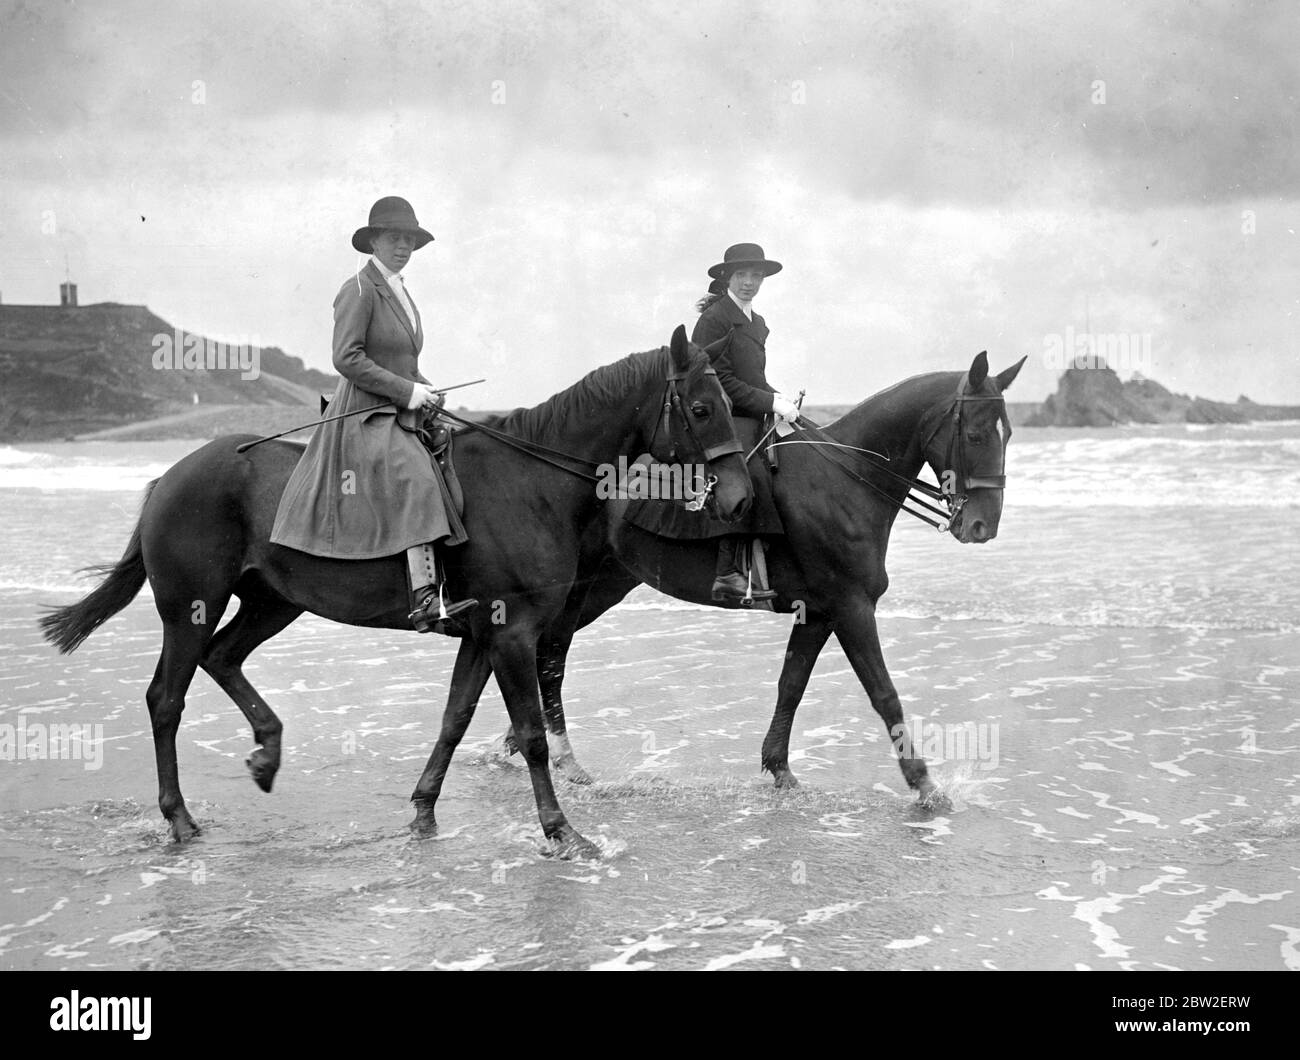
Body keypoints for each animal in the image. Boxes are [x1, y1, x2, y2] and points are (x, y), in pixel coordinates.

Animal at [40, 327, 754, 858]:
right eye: (700, 408)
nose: (742, 500)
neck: (530, 481)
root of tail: (171, 474)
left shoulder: (482, 637)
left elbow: (454, 720)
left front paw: (423, 812)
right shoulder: (514, 635)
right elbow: (531, 734)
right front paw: (561, 831)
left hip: (273, 602)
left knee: (223, 658)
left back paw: (267, 752)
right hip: (190, 610)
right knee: (166, 699)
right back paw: (180, 817)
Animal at [416, 348, 1024, 811]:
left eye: (1009, 431)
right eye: (975, 433)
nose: (982, 525)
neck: (844, 481)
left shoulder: (819, 612)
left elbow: (791, 684)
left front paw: (779, 768)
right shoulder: (851, 607)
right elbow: (884, 694)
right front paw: (925, 785)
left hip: (596, 588)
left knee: (548, 654)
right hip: (582, 590)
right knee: (547, 656)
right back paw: (545, 752)